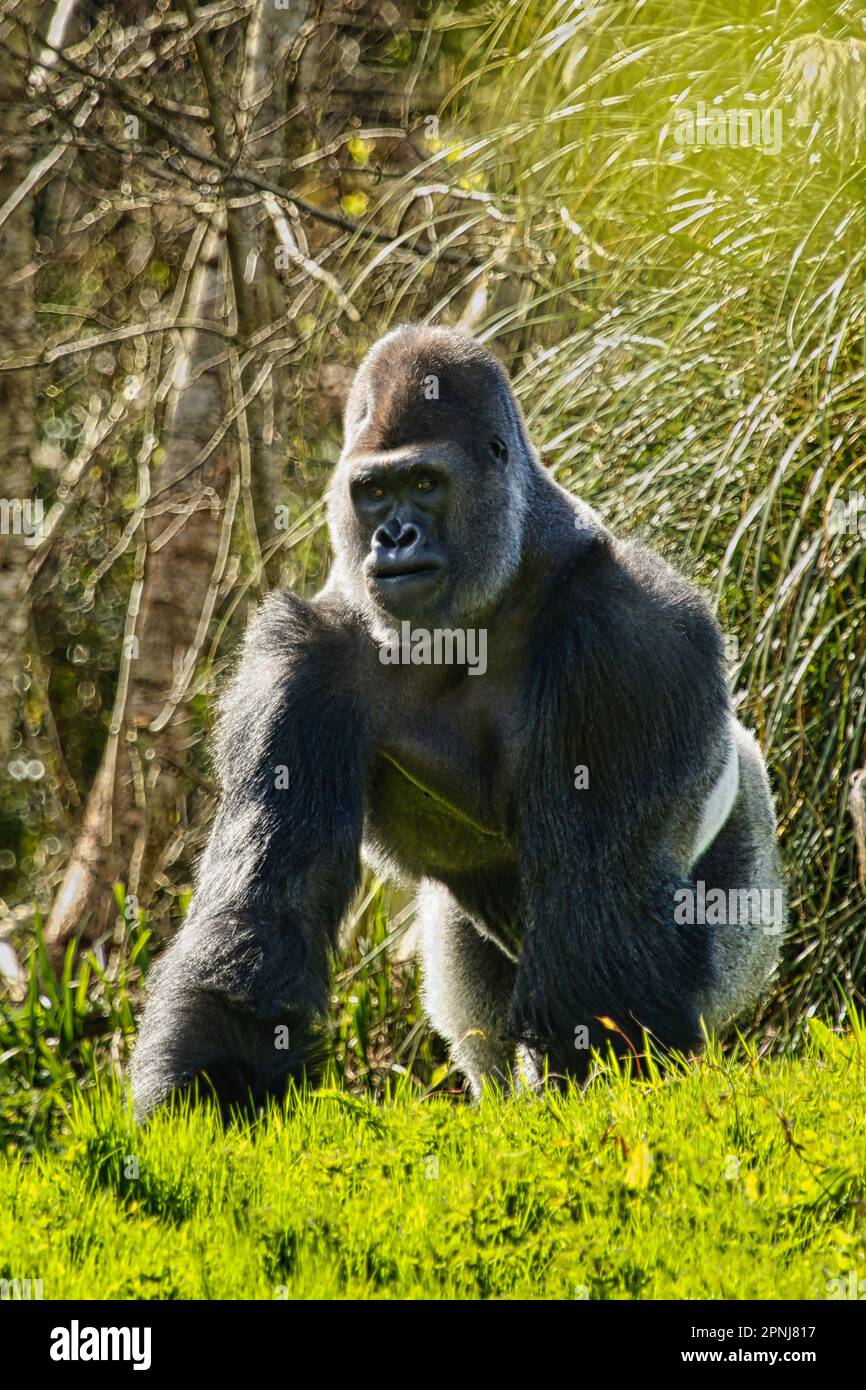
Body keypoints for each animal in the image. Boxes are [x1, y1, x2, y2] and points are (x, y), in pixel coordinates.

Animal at [130, 324, 784, 1117]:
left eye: (424, 484)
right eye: (373, 492)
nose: (395, 537)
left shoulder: (629, 638)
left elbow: (599, 927)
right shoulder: (299, 657)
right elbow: (267, 905)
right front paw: (202, 1099)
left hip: (752, 904)